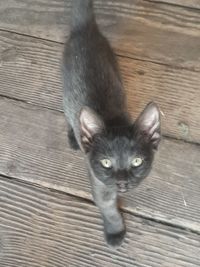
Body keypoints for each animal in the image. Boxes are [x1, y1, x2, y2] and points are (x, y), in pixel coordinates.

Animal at [62, 0, 161, 249]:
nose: (122, 181)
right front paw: (115, 231)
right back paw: (73, 136)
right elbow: (108, 209)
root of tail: (85, 29)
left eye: (137, 161)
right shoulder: (99, 183)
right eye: (106, 163)